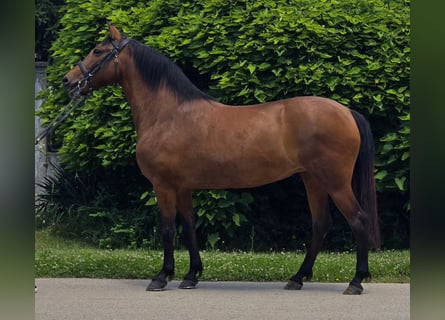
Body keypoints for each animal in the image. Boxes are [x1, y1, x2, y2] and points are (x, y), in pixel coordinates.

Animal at [64, 25, 380, 296]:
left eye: (97, 50)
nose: (69, 81)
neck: (168, 114)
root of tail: (346, 112)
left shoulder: (163, 185)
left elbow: (167, 229)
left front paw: (161, 277)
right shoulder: (183, 187)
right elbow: (189, 227)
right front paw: (191, 276)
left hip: (335, 182)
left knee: (359, 219)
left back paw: (355, 282)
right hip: (312, 180)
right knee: (320, 224)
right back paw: (297, 278)